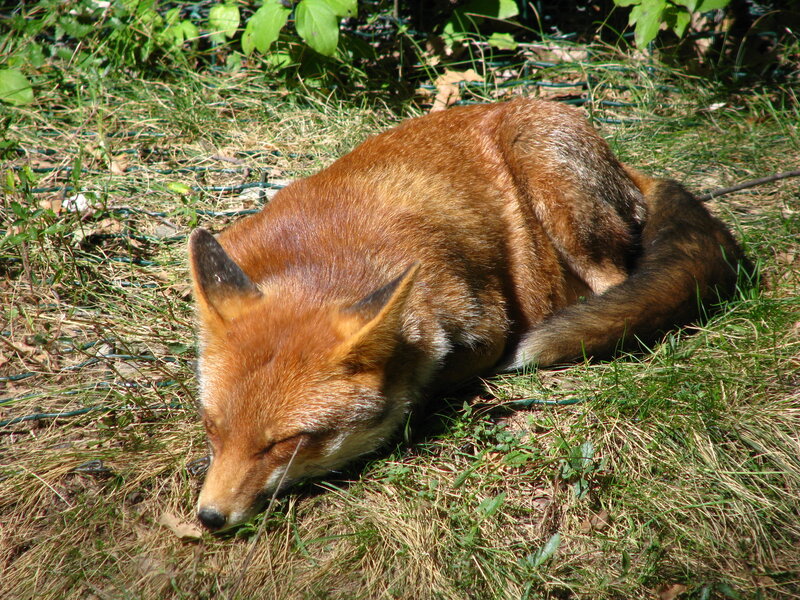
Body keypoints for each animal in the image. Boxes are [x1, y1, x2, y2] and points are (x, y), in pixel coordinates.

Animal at [188, 98, 749, 531]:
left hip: (551, 181)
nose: (210, 517)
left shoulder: (487, 329)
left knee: (613, 285)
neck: (325, 257)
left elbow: (421, 390)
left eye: (286, 443)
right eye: (213, 426)